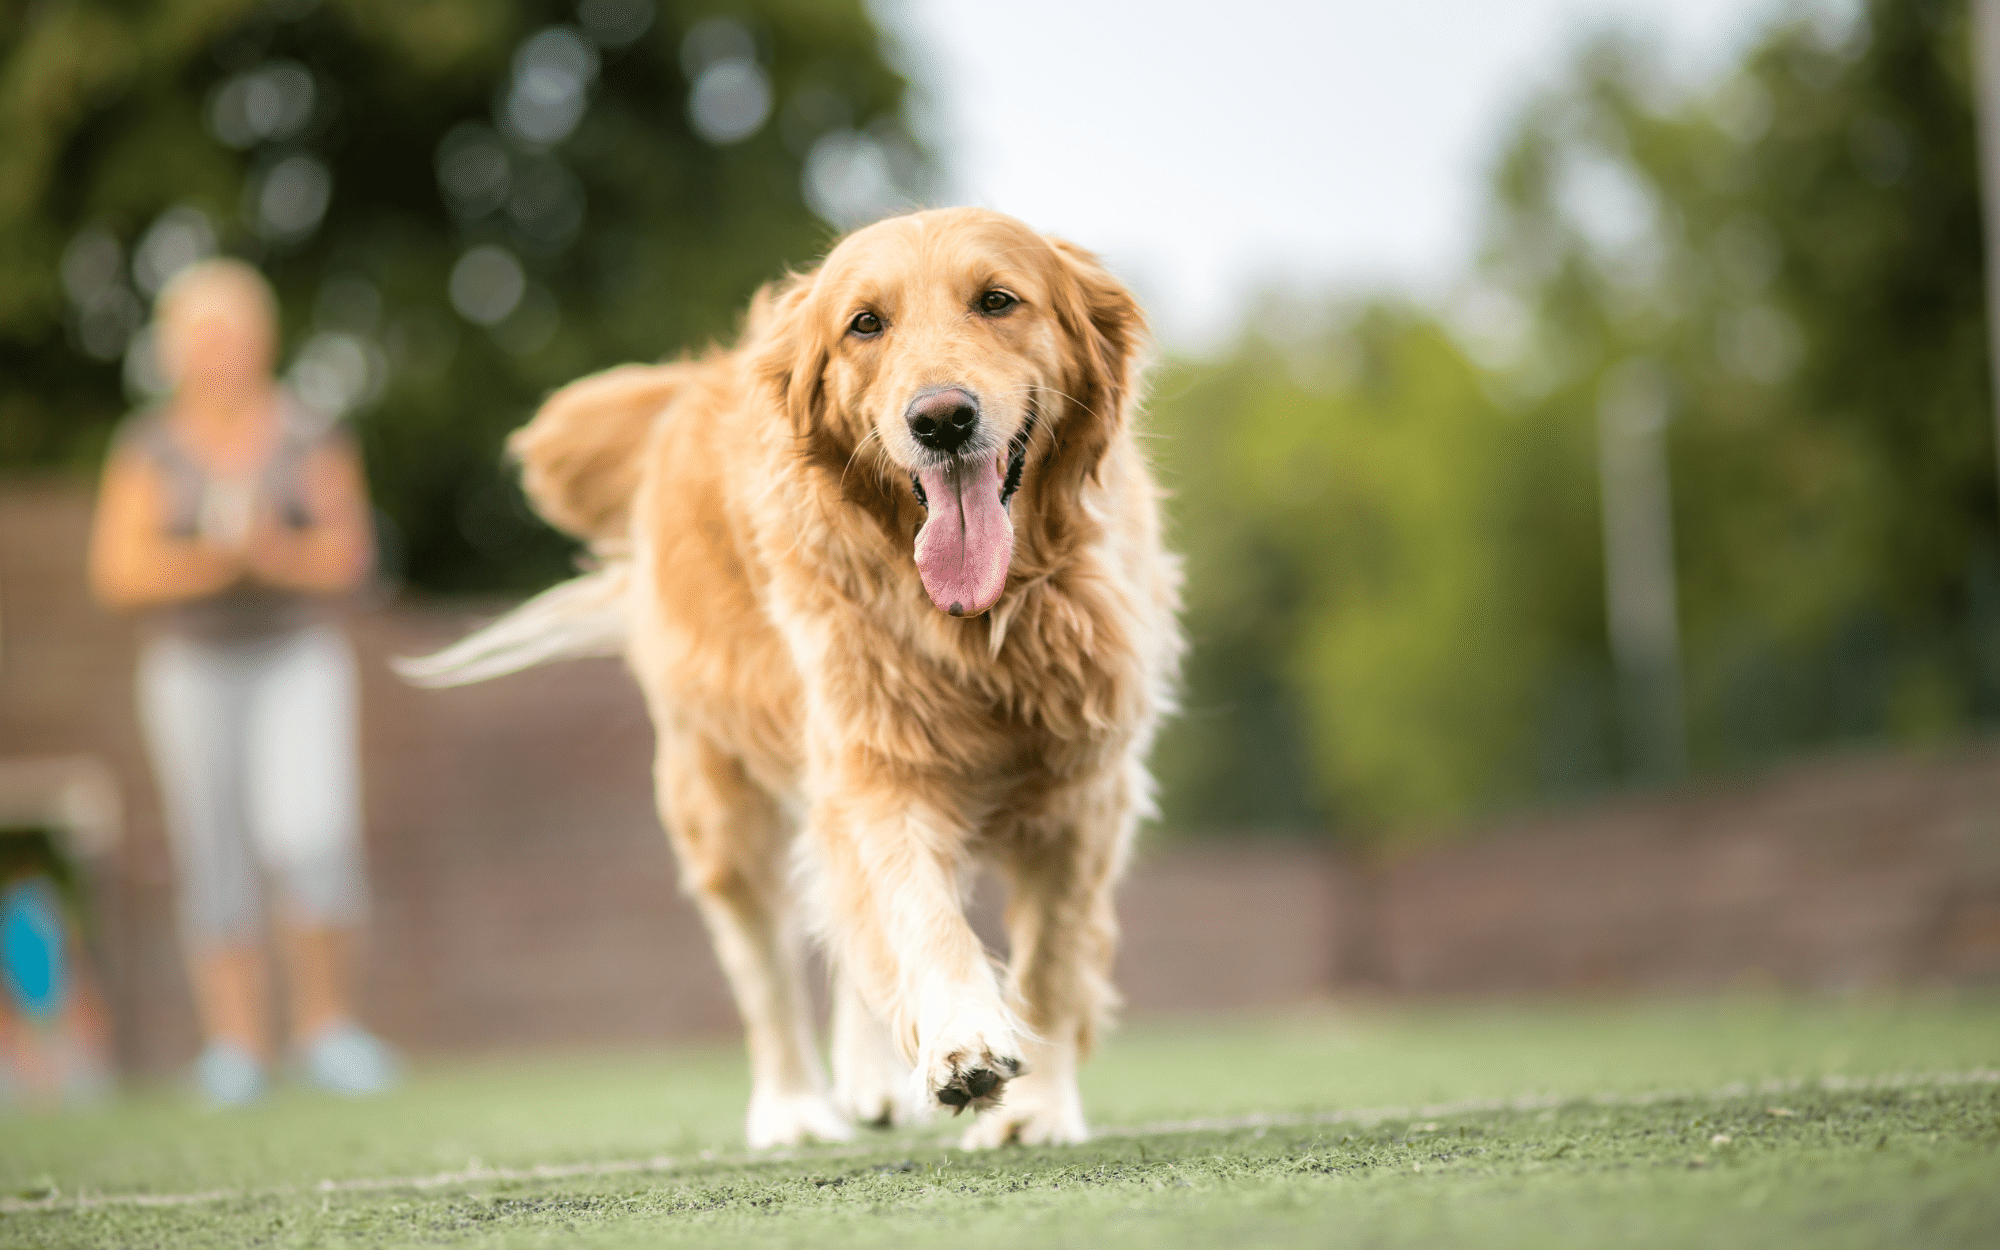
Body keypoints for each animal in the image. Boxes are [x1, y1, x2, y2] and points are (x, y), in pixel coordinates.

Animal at [412, 207, 1176, 1152]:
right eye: (865, 324)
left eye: (998, 300)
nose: (942, 419)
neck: (981, 622)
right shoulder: (876, 761)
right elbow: (916, 912)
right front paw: (961, 1038)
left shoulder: (1087, 787)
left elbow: (1056, 959)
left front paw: (1036, 1113)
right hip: (718, 802)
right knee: (766, 969)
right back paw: (796, 1110)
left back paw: (872, 1082)